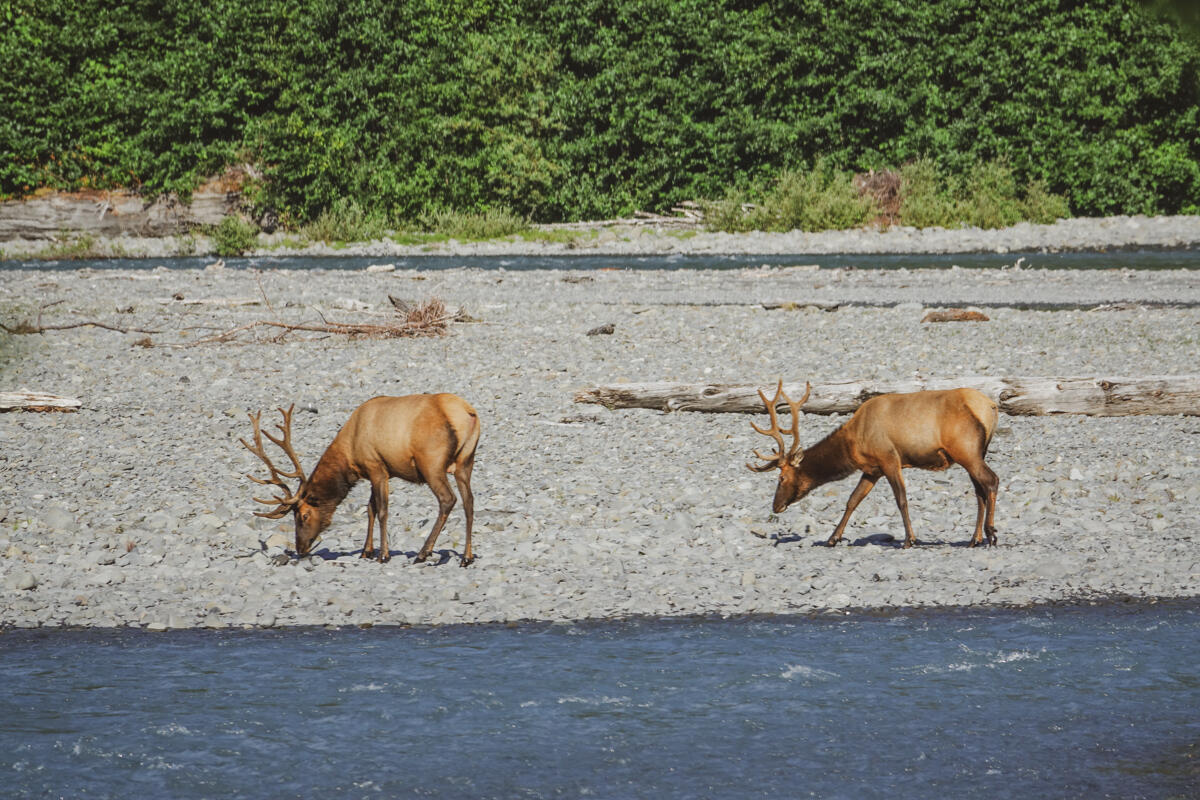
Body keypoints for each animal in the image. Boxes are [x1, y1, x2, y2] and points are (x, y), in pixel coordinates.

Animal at [241, 393, 480, 563]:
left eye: (303, 515)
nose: (300, 548)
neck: (350, 454)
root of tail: (467, 414)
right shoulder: (375, 472)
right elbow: (370, 509)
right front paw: (366, 551)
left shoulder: (376, 466)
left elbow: (382, 511)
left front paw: (383, 554)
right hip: (466, 462)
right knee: (469, 502)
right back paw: (466, 557)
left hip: (431, 462)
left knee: (448, 500)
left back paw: (423, 553)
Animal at [744, 383, 998, 546]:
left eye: (782, 478)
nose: (775, 506)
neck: (854, 442)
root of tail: (991, 407)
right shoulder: (871, 470)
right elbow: (852, 500)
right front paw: (832, 538)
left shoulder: (889, 458)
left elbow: (901, 499)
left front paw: (909, 539)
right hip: (977, 452)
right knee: (979, 490)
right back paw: (974, 538)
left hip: (966, 449)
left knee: (991, 481)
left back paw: (991, 533)